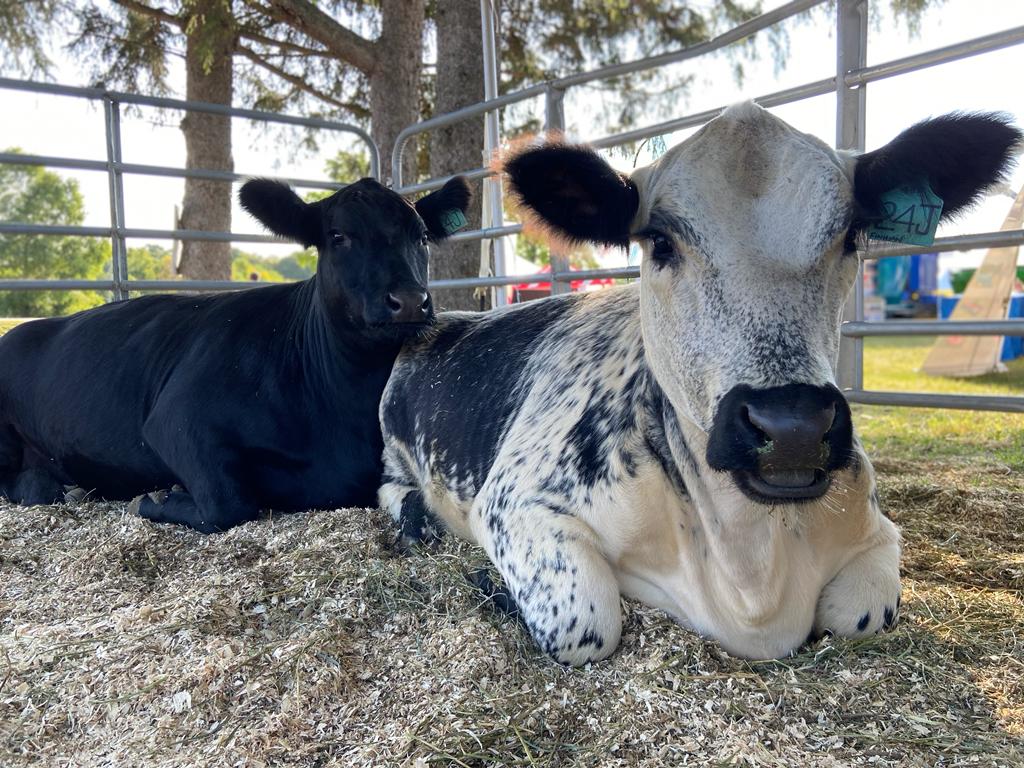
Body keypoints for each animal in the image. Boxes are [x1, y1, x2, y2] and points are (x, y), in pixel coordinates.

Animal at [380, 103, 1019, 667]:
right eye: (661, 242)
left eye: (851, 238)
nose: (792, 426)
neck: (752, 575)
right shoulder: (513, 500)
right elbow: (586, 621)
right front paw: (490, 587)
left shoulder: (876, 531)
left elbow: (857, 613)